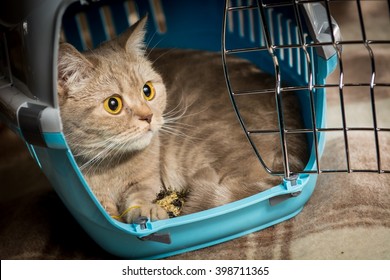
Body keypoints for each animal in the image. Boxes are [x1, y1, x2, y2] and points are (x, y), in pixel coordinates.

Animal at [58, 17, 308, 223]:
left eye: (147, 90)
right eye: (113, 104)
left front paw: (148, 211)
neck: (109, 166)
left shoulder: (149, 181)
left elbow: (139, 197)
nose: (148, 116)